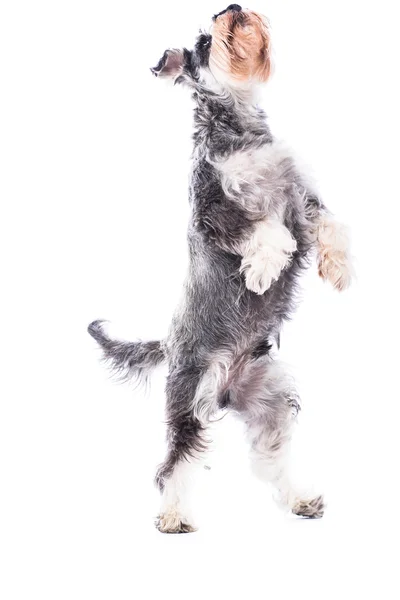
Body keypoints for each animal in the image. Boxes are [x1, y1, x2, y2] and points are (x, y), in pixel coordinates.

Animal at [88, 3, 354, 528]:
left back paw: (300, 498)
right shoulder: (216, 209)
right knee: (174, 461)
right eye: (204, 42)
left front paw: (339, 268)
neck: (240, 127)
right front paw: (262, 270)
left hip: (271, 399)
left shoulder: (302, 200)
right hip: (190, 399)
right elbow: (266, 232)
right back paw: (173, 517)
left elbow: (331, 226)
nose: (229, 9)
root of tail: (169, 345)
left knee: (271, 457)